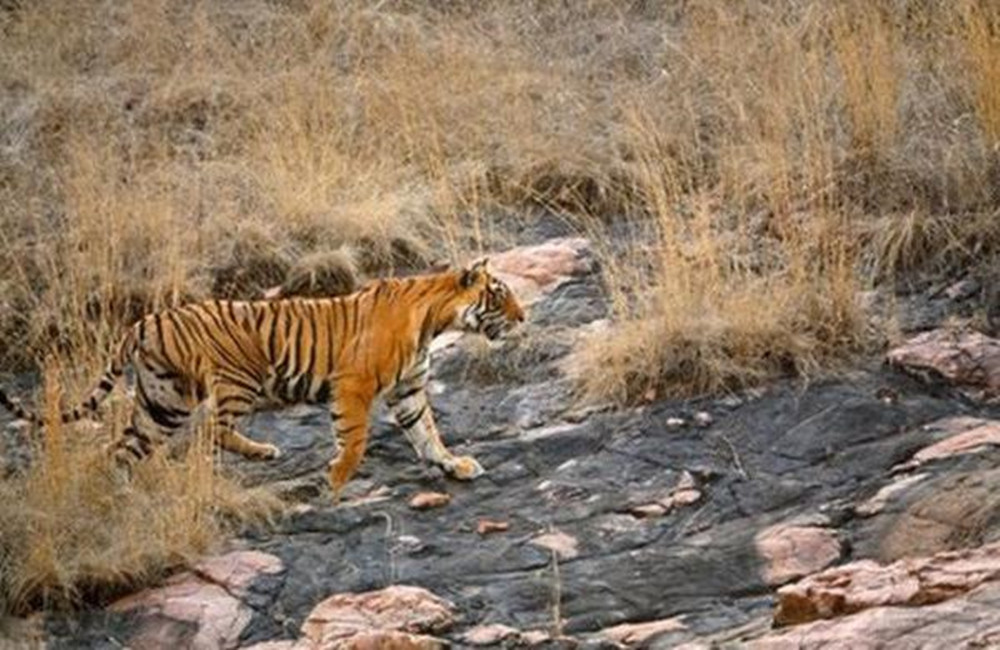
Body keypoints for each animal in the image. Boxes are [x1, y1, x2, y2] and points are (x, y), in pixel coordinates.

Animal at [0, 258, 528, 496]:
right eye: (499, 295)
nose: (523, 318)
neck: (435, 318)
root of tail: (143, 321)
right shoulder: (353, 384)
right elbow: (355, 439)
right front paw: (336, 478)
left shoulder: (409, 389)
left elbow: (427, 433)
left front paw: (453, 465)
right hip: (234, 381)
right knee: (214, 430)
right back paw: (263, 451)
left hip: (163, 400)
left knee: (124, 447)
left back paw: (123, 489)